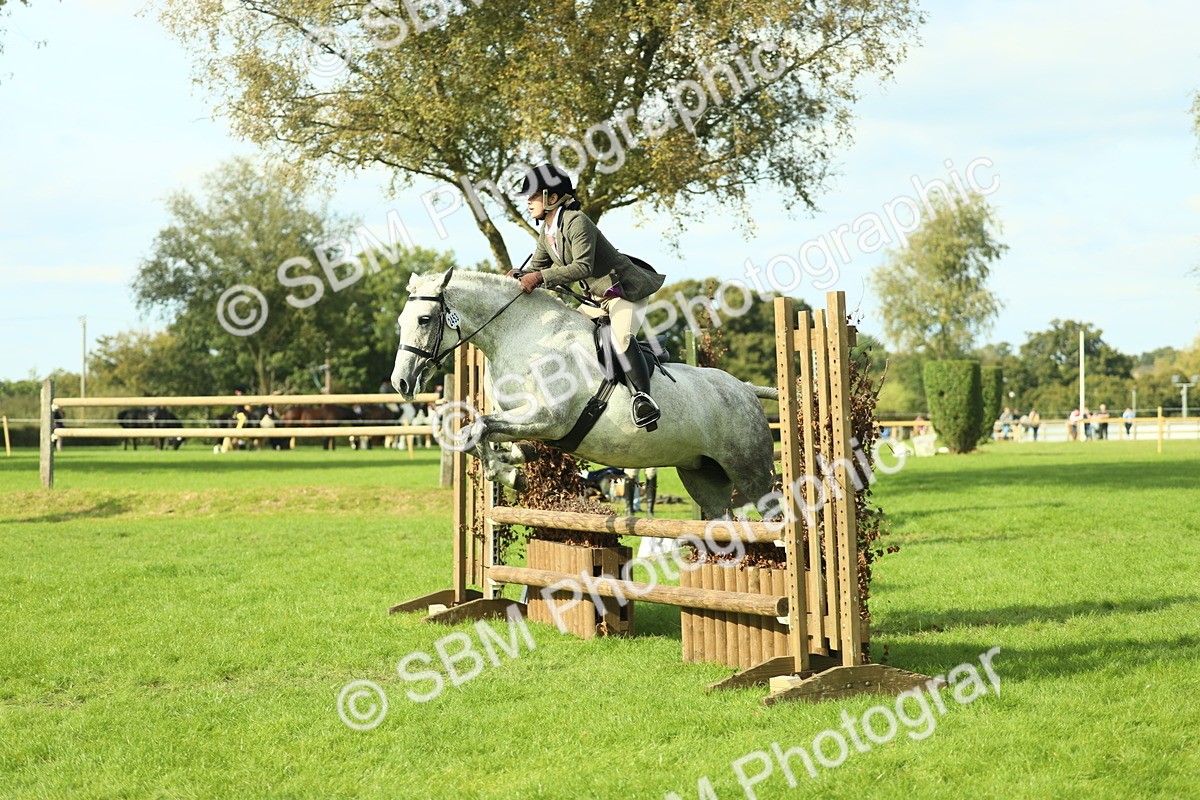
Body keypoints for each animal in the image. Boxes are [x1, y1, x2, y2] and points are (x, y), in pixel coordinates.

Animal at [389, 268, 777, 519]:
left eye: (424, 320)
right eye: (401, 321)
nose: (401, 383)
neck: (521, 336)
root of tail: (745, 390)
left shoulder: (548, 419)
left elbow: (480, 426)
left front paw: (513, 476)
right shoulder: (521, 419)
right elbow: (476, 434)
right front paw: (515, 465)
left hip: (751, 471)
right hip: (702, 476)